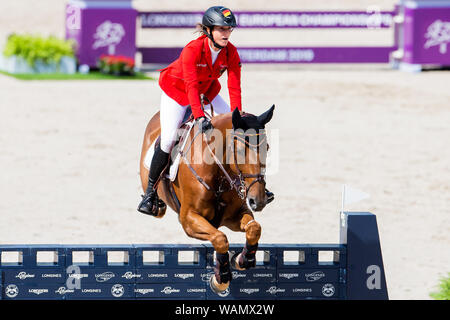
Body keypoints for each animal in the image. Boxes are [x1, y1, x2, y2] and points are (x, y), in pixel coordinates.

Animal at [138, 106, 274, 294]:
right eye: (239, 151)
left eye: (266, 148)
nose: (258, 200)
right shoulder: (188, 220)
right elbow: (220, 239)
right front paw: (221, 278)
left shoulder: (234, 215)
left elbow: (254, 229)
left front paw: (243, 259)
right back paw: (152, 203)